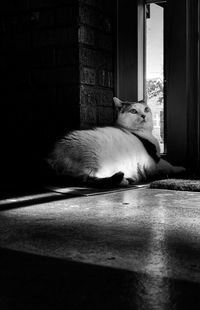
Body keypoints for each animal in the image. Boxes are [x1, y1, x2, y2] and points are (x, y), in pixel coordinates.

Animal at [47, 97, 185, 186]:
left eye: (146, 109)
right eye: (133, 111)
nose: (143, 115)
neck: (143, 132)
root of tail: (55, 157)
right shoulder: (155, 159)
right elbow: (168, 165)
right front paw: (180, 168)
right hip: (95, 159)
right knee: (90, 178)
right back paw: (124, 180)